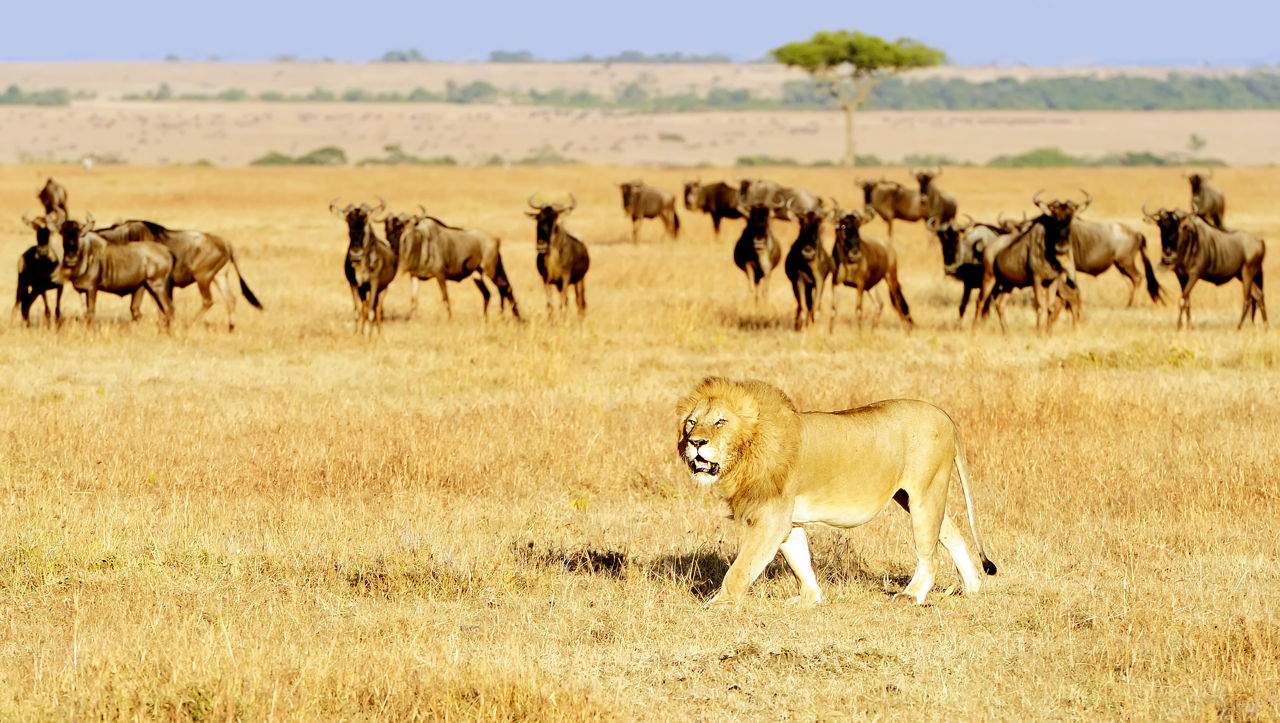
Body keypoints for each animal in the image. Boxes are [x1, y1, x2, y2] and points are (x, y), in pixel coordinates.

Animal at [675, 376, 993, 606]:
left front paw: (719, 603)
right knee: (952, 532)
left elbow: (742, 566)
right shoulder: (788, 519)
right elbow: (799, 560)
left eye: (720, 421)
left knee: (930, 553)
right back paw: (972, 586)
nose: (696, 442)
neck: (747, 451)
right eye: (692, 422)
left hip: (924, 492)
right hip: (913, 496)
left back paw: (912, 595)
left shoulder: (771, 516)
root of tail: (944, 415)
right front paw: (810, 599)